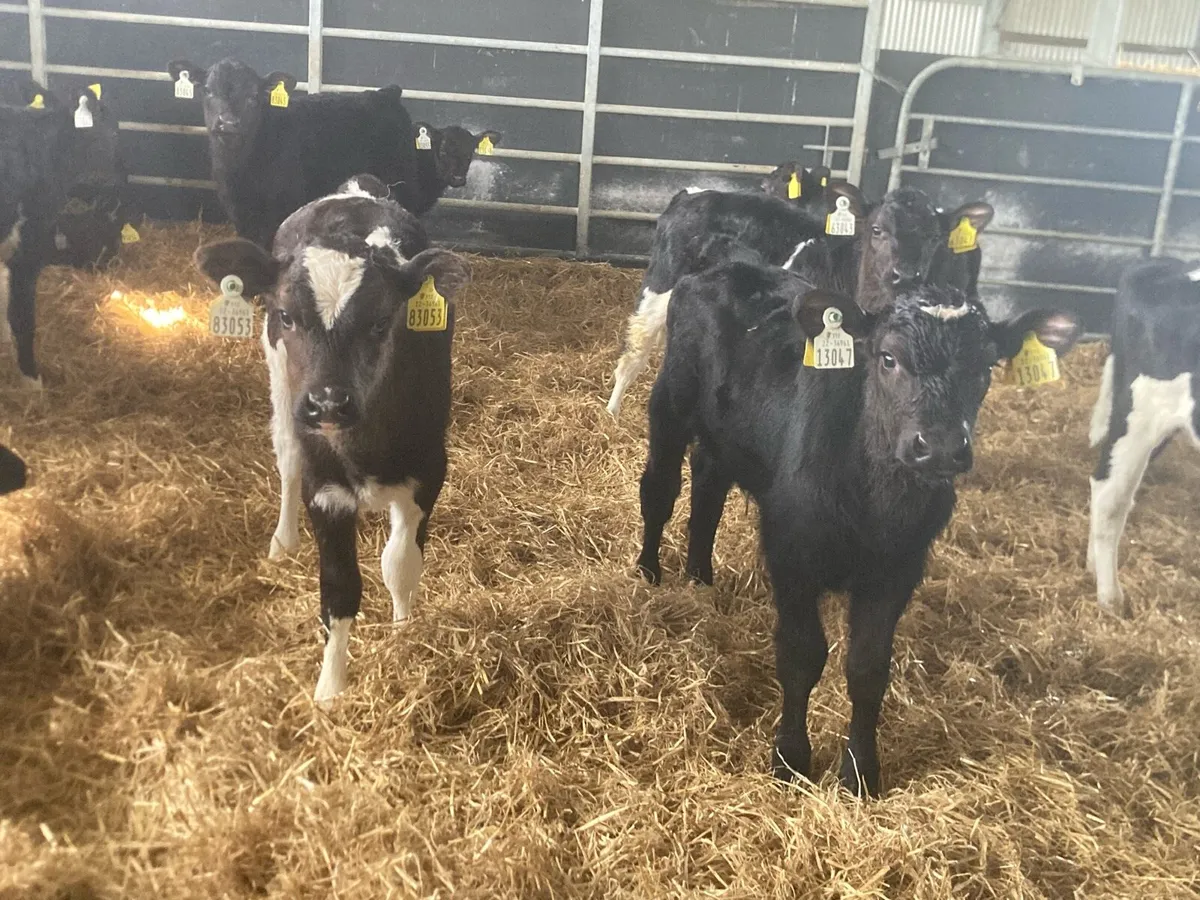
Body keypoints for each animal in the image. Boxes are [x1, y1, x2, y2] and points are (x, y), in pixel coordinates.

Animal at [193, 174, 471, 701]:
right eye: (286, 315)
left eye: (381, 321)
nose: (327, 403)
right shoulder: (325, 490)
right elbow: (339, 590)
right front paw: (330, 690)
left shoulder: (429, 471)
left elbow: (400, 563)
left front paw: (404, 633)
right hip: (281, 390)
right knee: (286, 462)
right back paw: (283, 540)